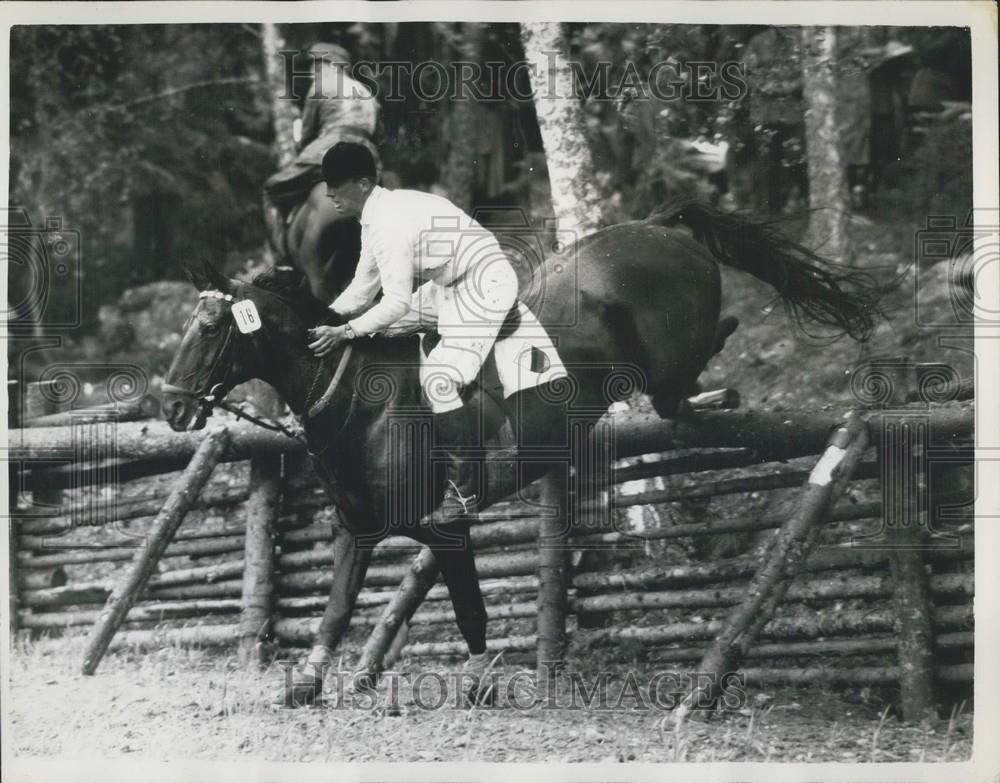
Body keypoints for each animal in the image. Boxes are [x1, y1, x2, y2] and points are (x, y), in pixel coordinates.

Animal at [160, 201, 880, 704]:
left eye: (210, 327)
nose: (171, 406)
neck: (360, 405)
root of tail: (658, 226)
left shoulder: (445, 528)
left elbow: (470, 608)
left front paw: (480, 681)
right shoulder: (358, 528)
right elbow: (335, 609)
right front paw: (307, 683)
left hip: (668, 352)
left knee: (699, 357)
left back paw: (722, 382)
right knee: (679, 395)